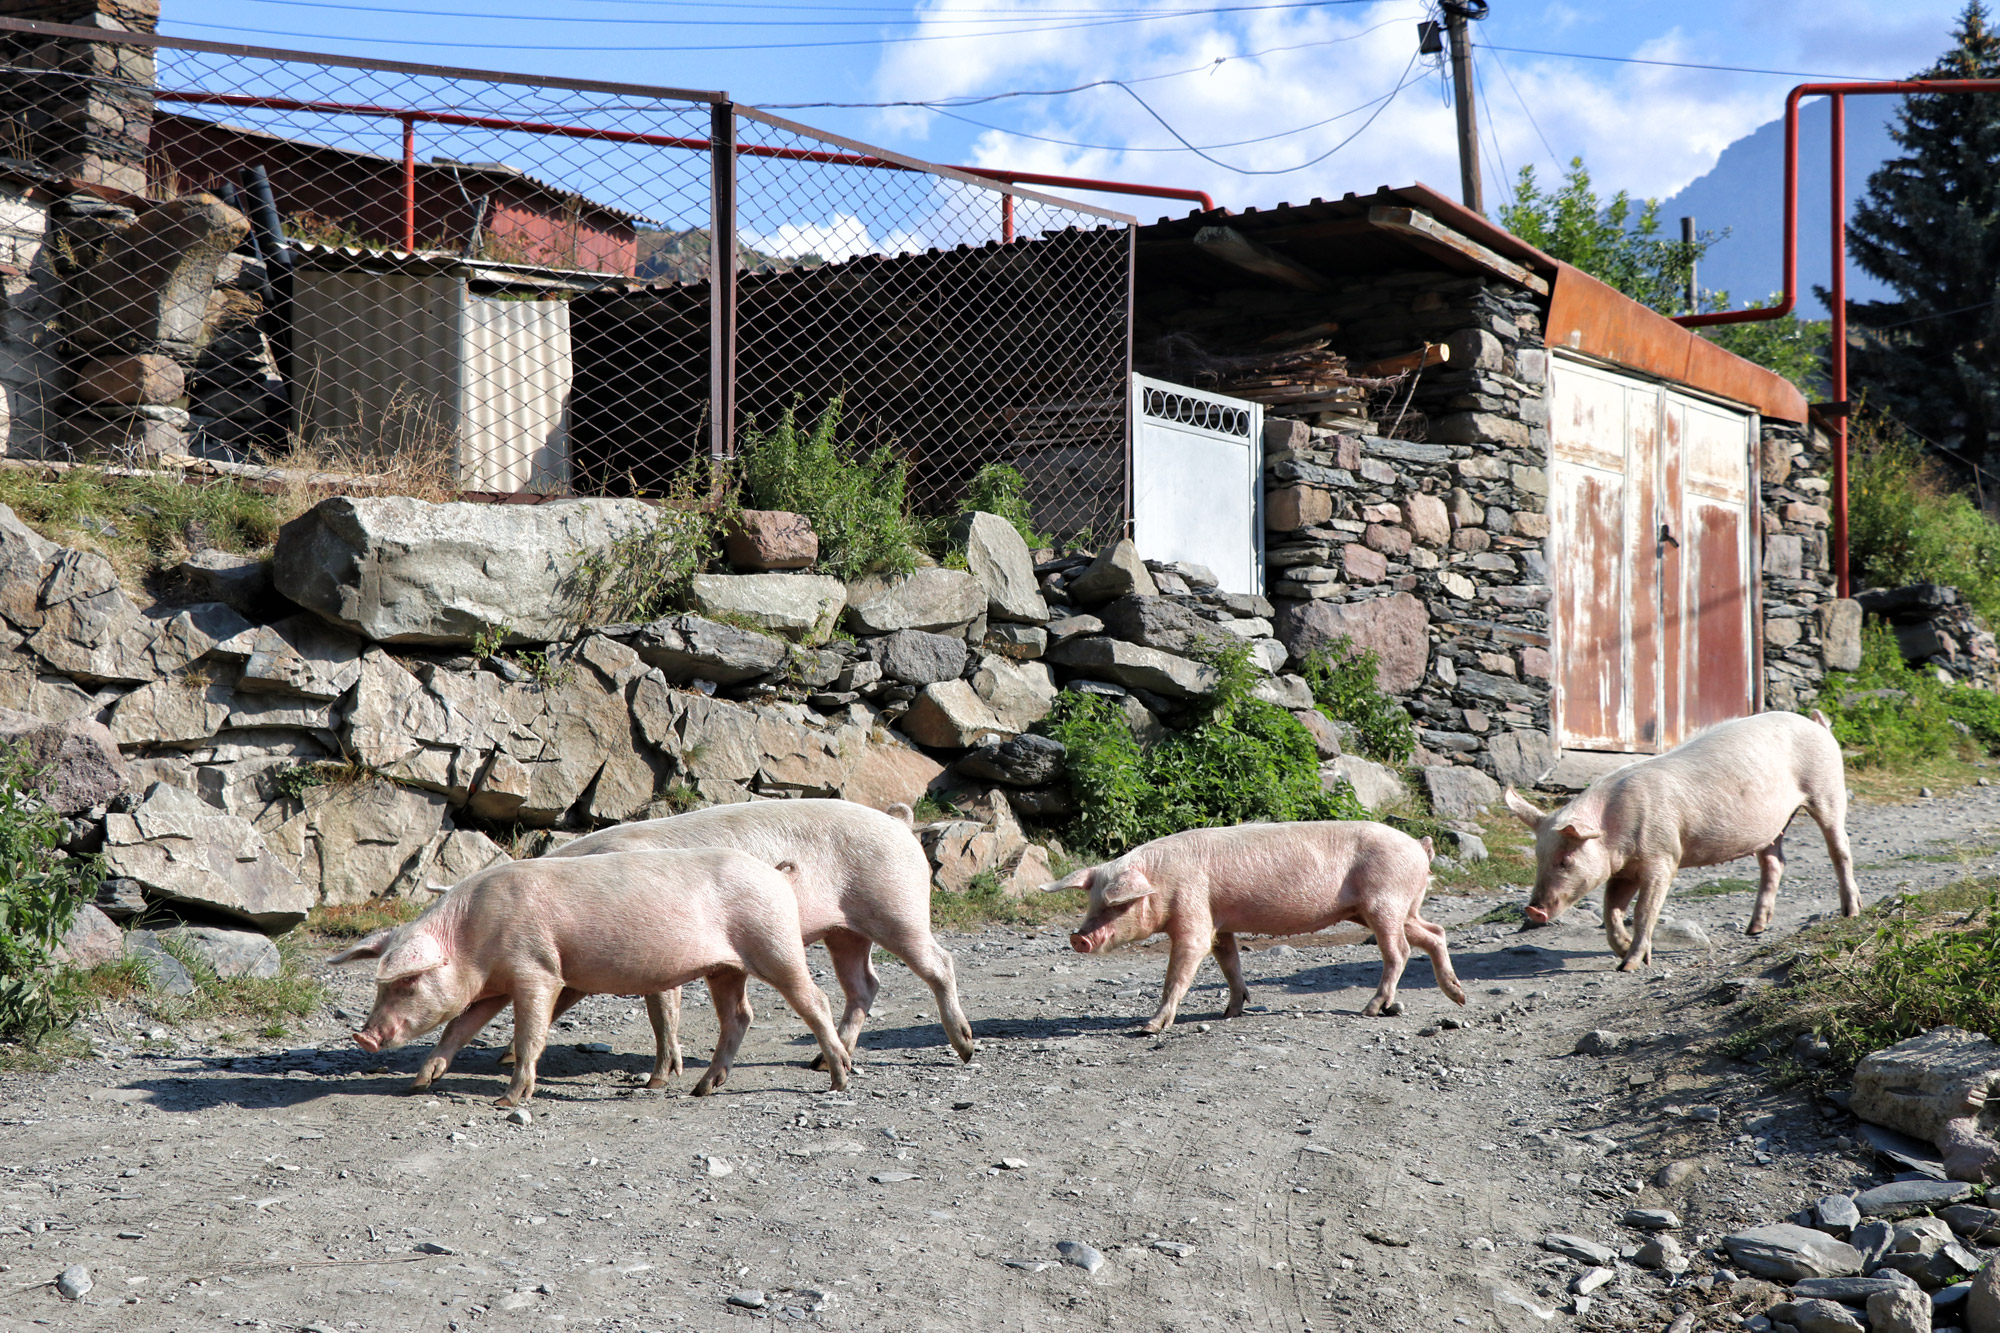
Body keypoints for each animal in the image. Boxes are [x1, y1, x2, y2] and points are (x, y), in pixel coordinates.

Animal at [332, 852, 848, 1096]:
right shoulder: (491, 986)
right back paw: (701, 1090)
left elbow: (530, 1033)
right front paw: (420, 1082)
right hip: (725, 968)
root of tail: (777, 873)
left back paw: (839, 1078)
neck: (471, 936)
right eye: (380, 985)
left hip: (774, 941)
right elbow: (458, 1028)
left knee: (815, 1000)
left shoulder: (537, 968)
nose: (363, 1036)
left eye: (408, 980)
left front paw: (509, 1100)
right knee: (738, 1016)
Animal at [1048, 820, 1472, 1024]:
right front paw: (1231, 1012)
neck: (1163, 881)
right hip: (1394, 909)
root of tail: (1419, 846)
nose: (1078, 938)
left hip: (1385, 903)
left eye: (1117, 905)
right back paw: (1459, 997)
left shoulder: (1194, 911)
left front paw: (1149, 1026)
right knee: (1434, 933)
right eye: (1091, 902)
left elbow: (1183, 965)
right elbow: (1229, 963)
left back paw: (1371, 1010)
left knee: (1399, 950)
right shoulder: (1220, 923)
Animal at [1504, 704, 1864, 964]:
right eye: (1538, 858)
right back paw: (1753, 929)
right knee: (1774, 862)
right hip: (1775, 824)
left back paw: (1851, 912)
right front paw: (1623, 952)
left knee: (1840, 847)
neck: (1612, 828)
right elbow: (1611, 912)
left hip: (1827, 788)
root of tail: (1818, 724)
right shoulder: (1621, 870)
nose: (1533, 910)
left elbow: (1644, 911)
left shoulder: (1663, 856)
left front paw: (1631, 964)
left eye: (1566, 859)